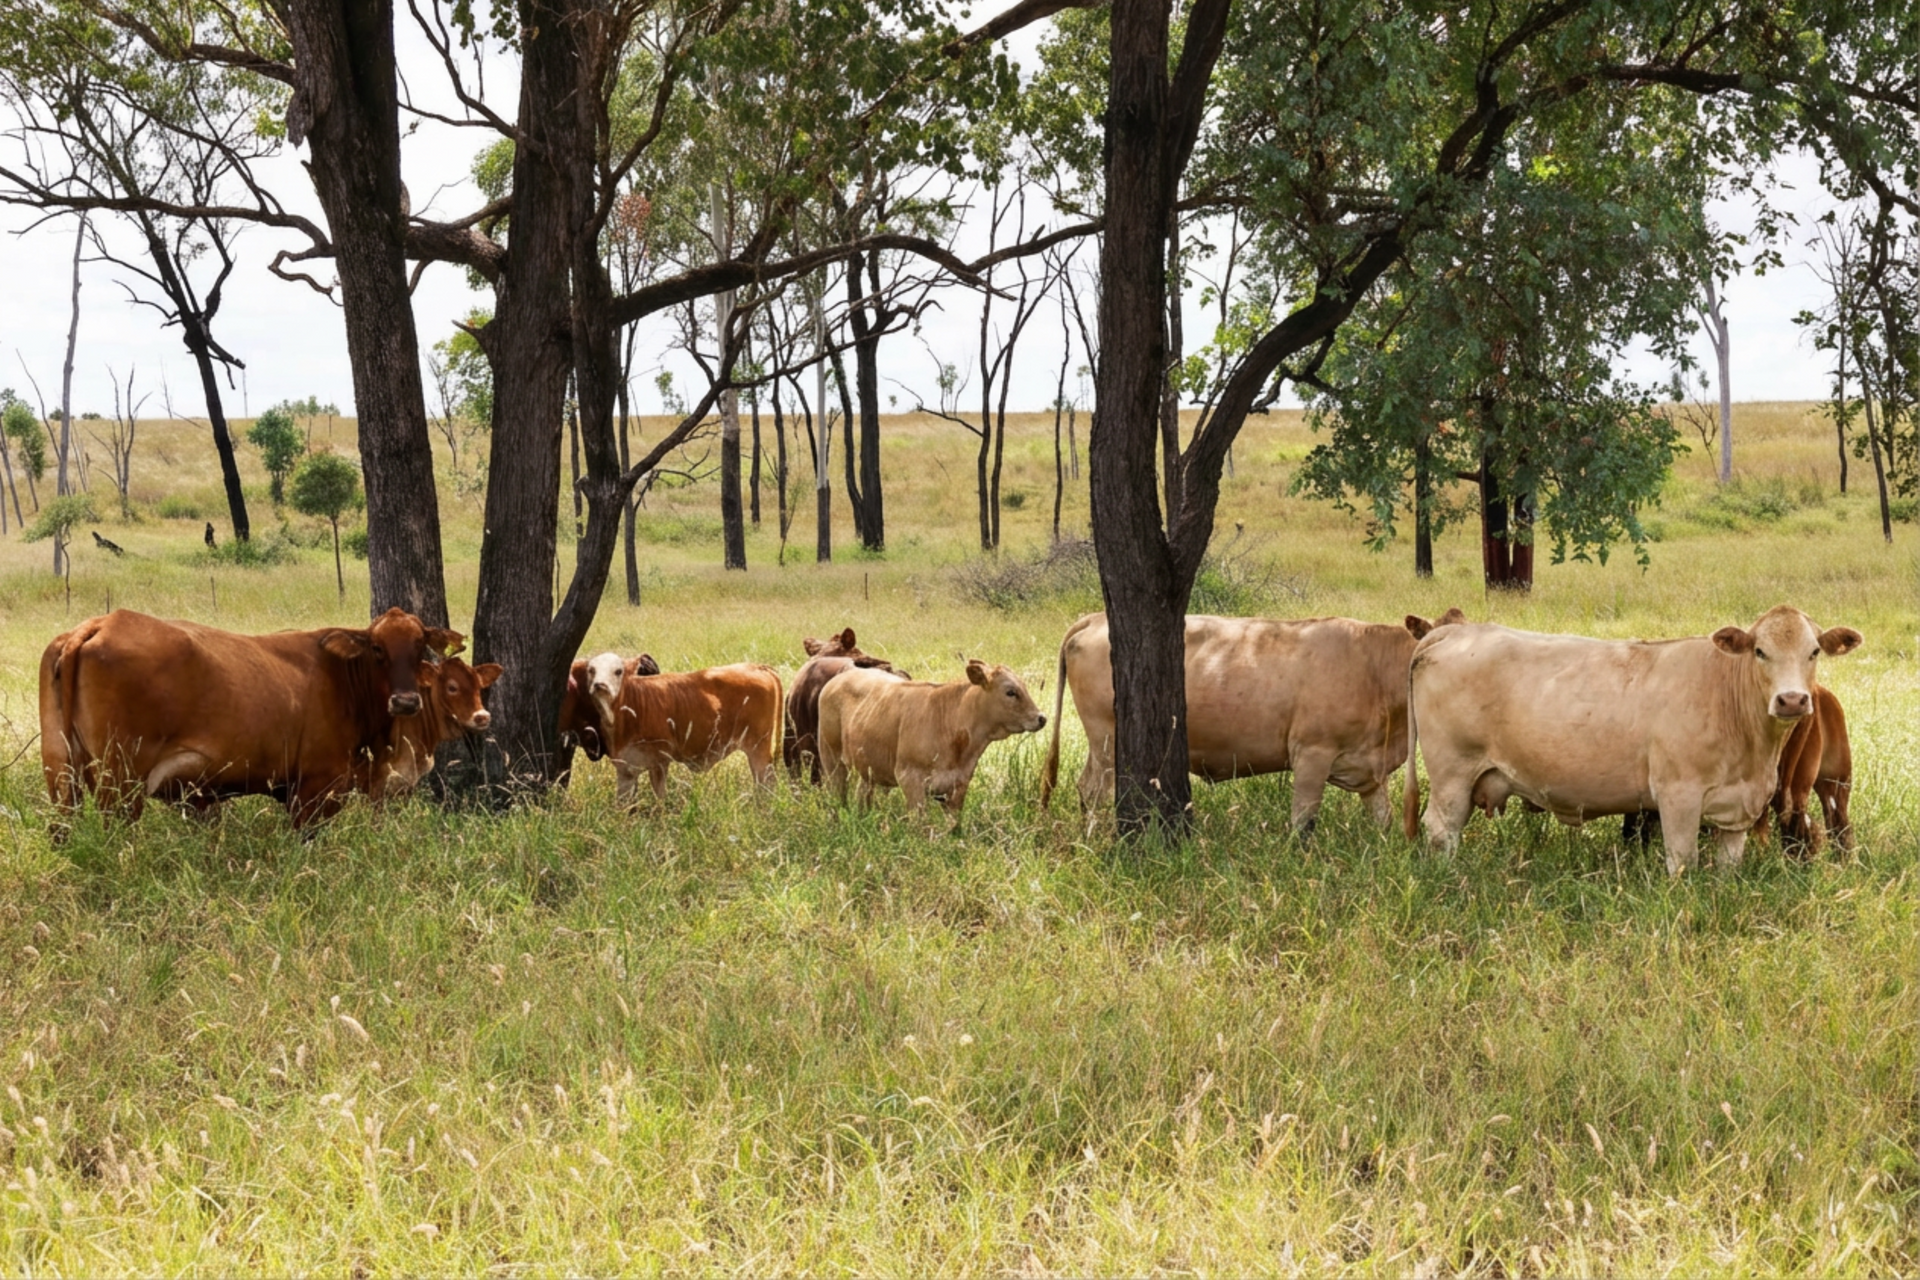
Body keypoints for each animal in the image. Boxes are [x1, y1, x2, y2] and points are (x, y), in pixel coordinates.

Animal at [40, 607, 461, 828]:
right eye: (377, 648)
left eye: (420, 645)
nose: (405, 702)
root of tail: (100, 622)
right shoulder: (317, 787)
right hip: (120, 780)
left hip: (60, 771)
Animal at [558, 653, 783, 805]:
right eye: (591, 670)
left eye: (618, 671)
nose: (600, 685)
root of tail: (757, 666)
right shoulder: (625, 767)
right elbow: (623, 804)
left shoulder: (659, 762)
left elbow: (660, 800)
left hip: (758, 750)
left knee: (767, 783)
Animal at [818, 659, 1046, 817]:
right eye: (1010, 692)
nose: (1041, 718)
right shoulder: (910, 779)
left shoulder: (959, 783)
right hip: (831, 759)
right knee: (837, 795)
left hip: (867, 767)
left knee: (862, 793)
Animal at [1041, 609, 1468, 836]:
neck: (1373, 669)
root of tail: (1096, 617)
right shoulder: (1312, 754)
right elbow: (1303, 822)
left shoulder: (1370, 771)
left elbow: (1383, 821)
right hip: (1107, 741)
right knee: (1094, 791)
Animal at [1402, 605, 1862, 875]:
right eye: (1760, 652)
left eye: (1814, 652)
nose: (1792, 699)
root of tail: (1453, 633)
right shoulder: (1678, 797)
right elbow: (1682, 863)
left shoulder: (1738, 811)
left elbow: (1728, 868)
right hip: (1452, 774)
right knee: (1441, 830)